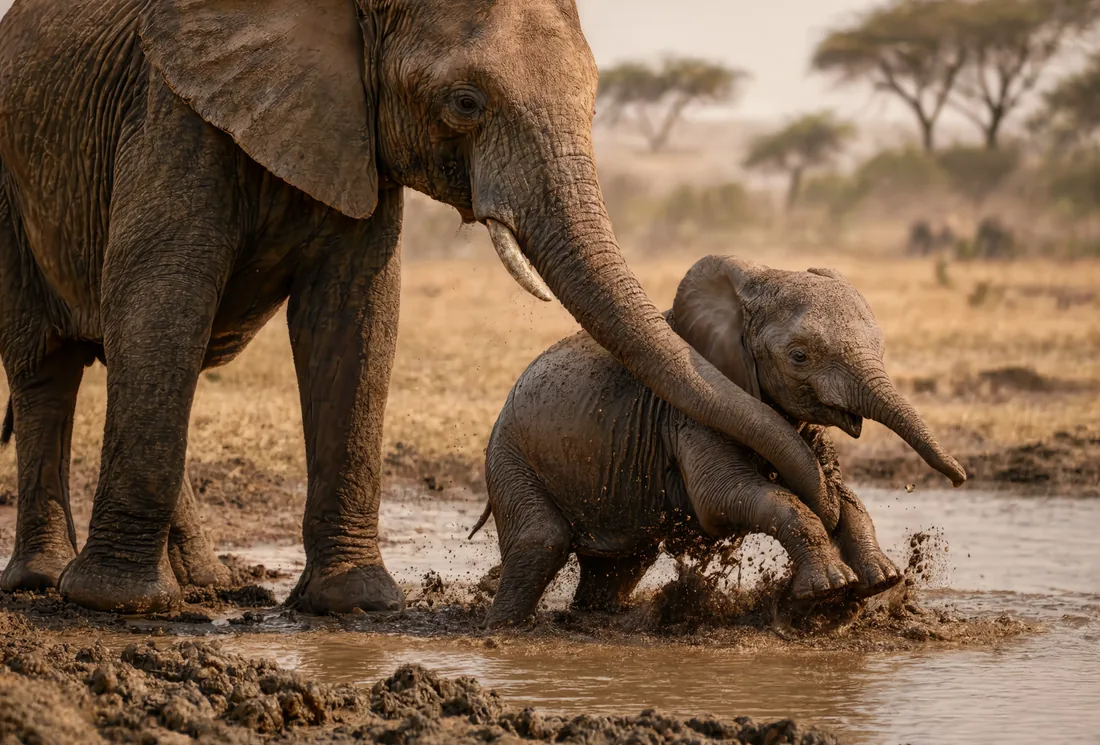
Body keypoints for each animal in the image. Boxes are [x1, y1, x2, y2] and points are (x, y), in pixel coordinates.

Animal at [0, 0, 833, 614]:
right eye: (464, 103)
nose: (825, 482)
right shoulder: (169, 113)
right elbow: (161, 296)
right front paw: (120, 605)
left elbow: (355, 319)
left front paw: (356, 605)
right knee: (53, 366)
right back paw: (48, 582)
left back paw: (211, 586)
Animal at [473, 255, 967, 628]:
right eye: (799, 357)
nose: (960, 477)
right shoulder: (690, 415)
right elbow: (724, 495)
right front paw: (831, 588)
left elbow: (838, 488)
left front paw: (880, 579)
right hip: (509, 457)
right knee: (541, 541)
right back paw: (502, 631)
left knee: (620, 566)